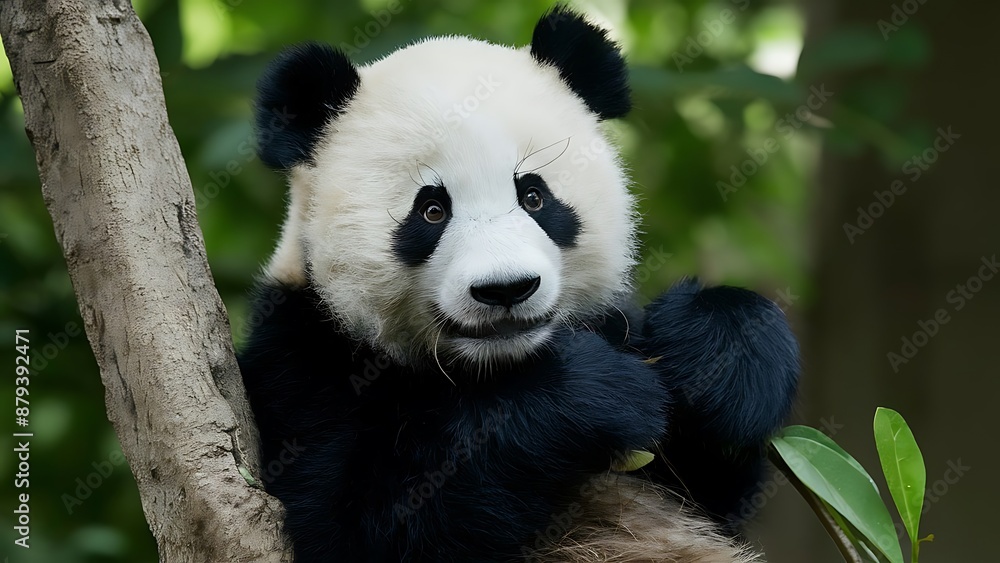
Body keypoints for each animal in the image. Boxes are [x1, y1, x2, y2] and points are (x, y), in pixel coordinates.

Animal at [238, 6, 799, 562]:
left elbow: (711, 490)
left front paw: (725, 361)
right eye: (431, 210)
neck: (494, 367)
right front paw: (591, 392)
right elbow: (355, 521)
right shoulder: (303, 362)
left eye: (534, 196)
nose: (507, 289)